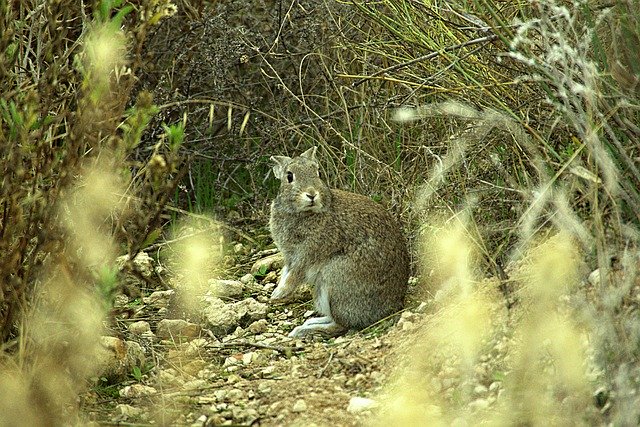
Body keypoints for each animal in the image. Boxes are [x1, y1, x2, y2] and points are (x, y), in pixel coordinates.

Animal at [266, 147, 408, 338]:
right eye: (289, 176)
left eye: (318, 173)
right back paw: (307, 324)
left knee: (340, 325)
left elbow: (295, 275)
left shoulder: (309, 253)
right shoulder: (289, 256)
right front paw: (276, 293)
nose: (312, 194)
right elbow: (286, 273)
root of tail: (393, 306)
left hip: (334, 282)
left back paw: (302, 330)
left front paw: (278, 294)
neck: (305, 213)